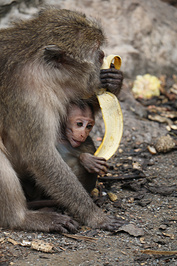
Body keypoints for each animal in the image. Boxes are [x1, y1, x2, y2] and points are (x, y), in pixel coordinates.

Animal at [0, 6, 123, 233]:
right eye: (97, 51)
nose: (103, 55)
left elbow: (80, 103)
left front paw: (115, 81)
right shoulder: (27, 101)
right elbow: (40, 156)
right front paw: (94, 216)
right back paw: (22, 219)